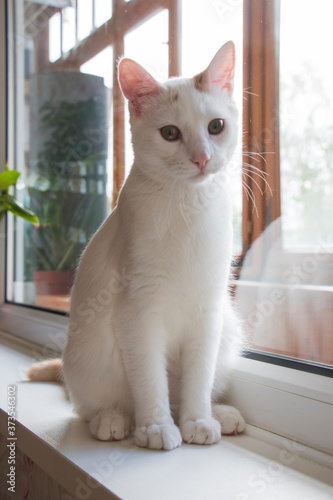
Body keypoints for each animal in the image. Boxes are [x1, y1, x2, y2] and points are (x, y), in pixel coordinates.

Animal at [27, 42, 244, 450]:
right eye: (170, 133)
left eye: (216, 126)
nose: (202, 159)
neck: (188, 207)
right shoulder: (138, 310)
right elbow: (149, 380)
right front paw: (156, 427)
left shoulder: (207, 309)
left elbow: (198, 377)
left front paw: (197, 420)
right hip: (86, 355)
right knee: (91, 407)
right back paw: (114, 420)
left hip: (228, 330)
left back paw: (220, 415)